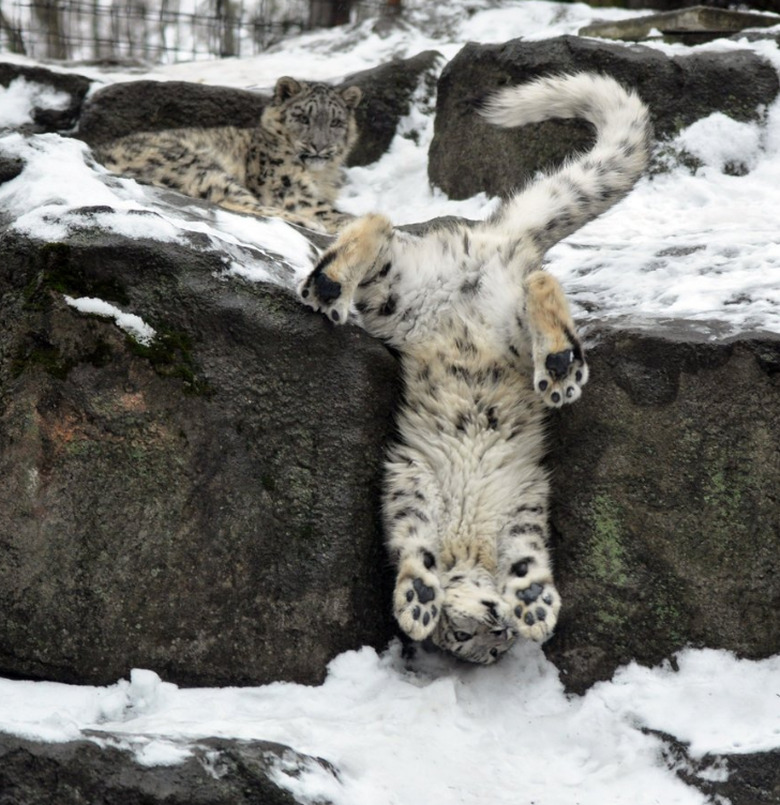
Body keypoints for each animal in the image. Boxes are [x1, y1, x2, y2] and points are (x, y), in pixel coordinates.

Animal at [93, 77, 362, 232]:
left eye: (336, 122)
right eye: (303, 118)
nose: (319, 146)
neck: (321, 176)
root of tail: (100, 153)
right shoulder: (290, 189)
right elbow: (327, 210)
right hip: (195, 163)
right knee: (237, 202)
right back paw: (308, 223)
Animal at [298, 72, 652, 664]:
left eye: (488, 647)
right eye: (467, 642)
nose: (500, 630)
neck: (472, 540)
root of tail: (486, 241)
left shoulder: (522, 505)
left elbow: (527, 551)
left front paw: (534, 602)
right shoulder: (411, 482)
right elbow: (413, 538)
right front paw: (419, 599)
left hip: (458, 310)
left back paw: (559, 366)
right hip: (405, 294)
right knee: (397, 231)